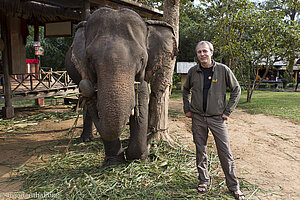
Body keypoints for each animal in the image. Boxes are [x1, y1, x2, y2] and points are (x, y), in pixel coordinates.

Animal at [64, 7, 177, 166]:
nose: (88, 89)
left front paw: (140, 156)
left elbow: (141, 99)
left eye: (142, 59)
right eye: (89, 59)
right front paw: (113, 162)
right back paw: (87, 138)